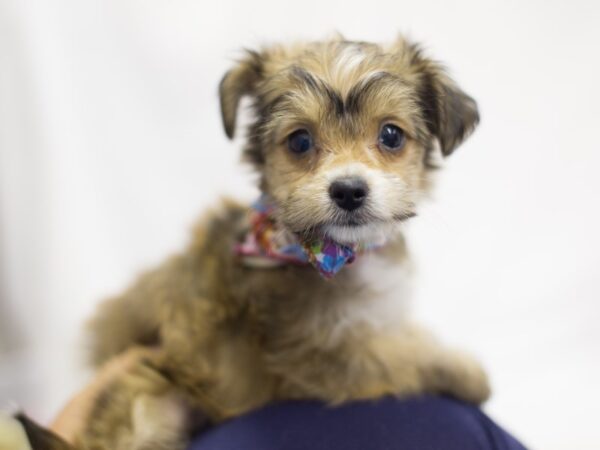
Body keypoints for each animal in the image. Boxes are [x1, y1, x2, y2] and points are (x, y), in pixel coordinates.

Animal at [12, 35, 488, 450]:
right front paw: (469, 373)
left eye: (391, 135)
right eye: (300, 141)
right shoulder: (319, 357)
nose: (349, 190)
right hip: (150, 403)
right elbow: (402, 355)